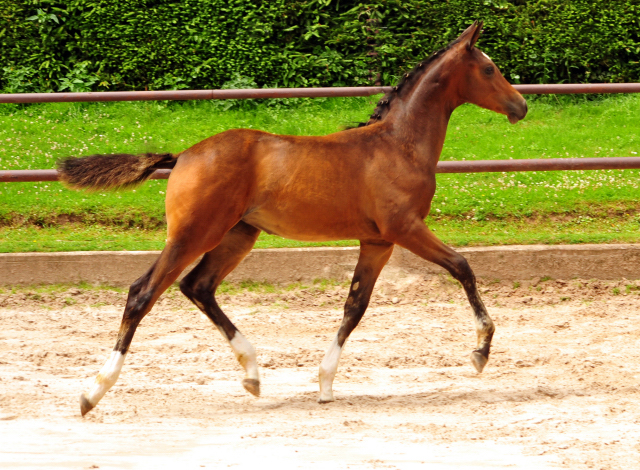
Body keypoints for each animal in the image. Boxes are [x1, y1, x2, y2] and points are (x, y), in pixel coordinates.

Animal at [58, 21, 524, 414]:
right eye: (488, 68)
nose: (520, 106)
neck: (399, 144)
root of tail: (184, 155)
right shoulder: (404, 229)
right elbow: (462, 266)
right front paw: (480, 352)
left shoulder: (377, 241)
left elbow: (355, 306)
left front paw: (325, 383)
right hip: (194, 233)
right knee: (143, 293)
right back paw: (93, 391)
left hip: (237, 235)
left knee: (198, 287)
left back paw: (252, 374)